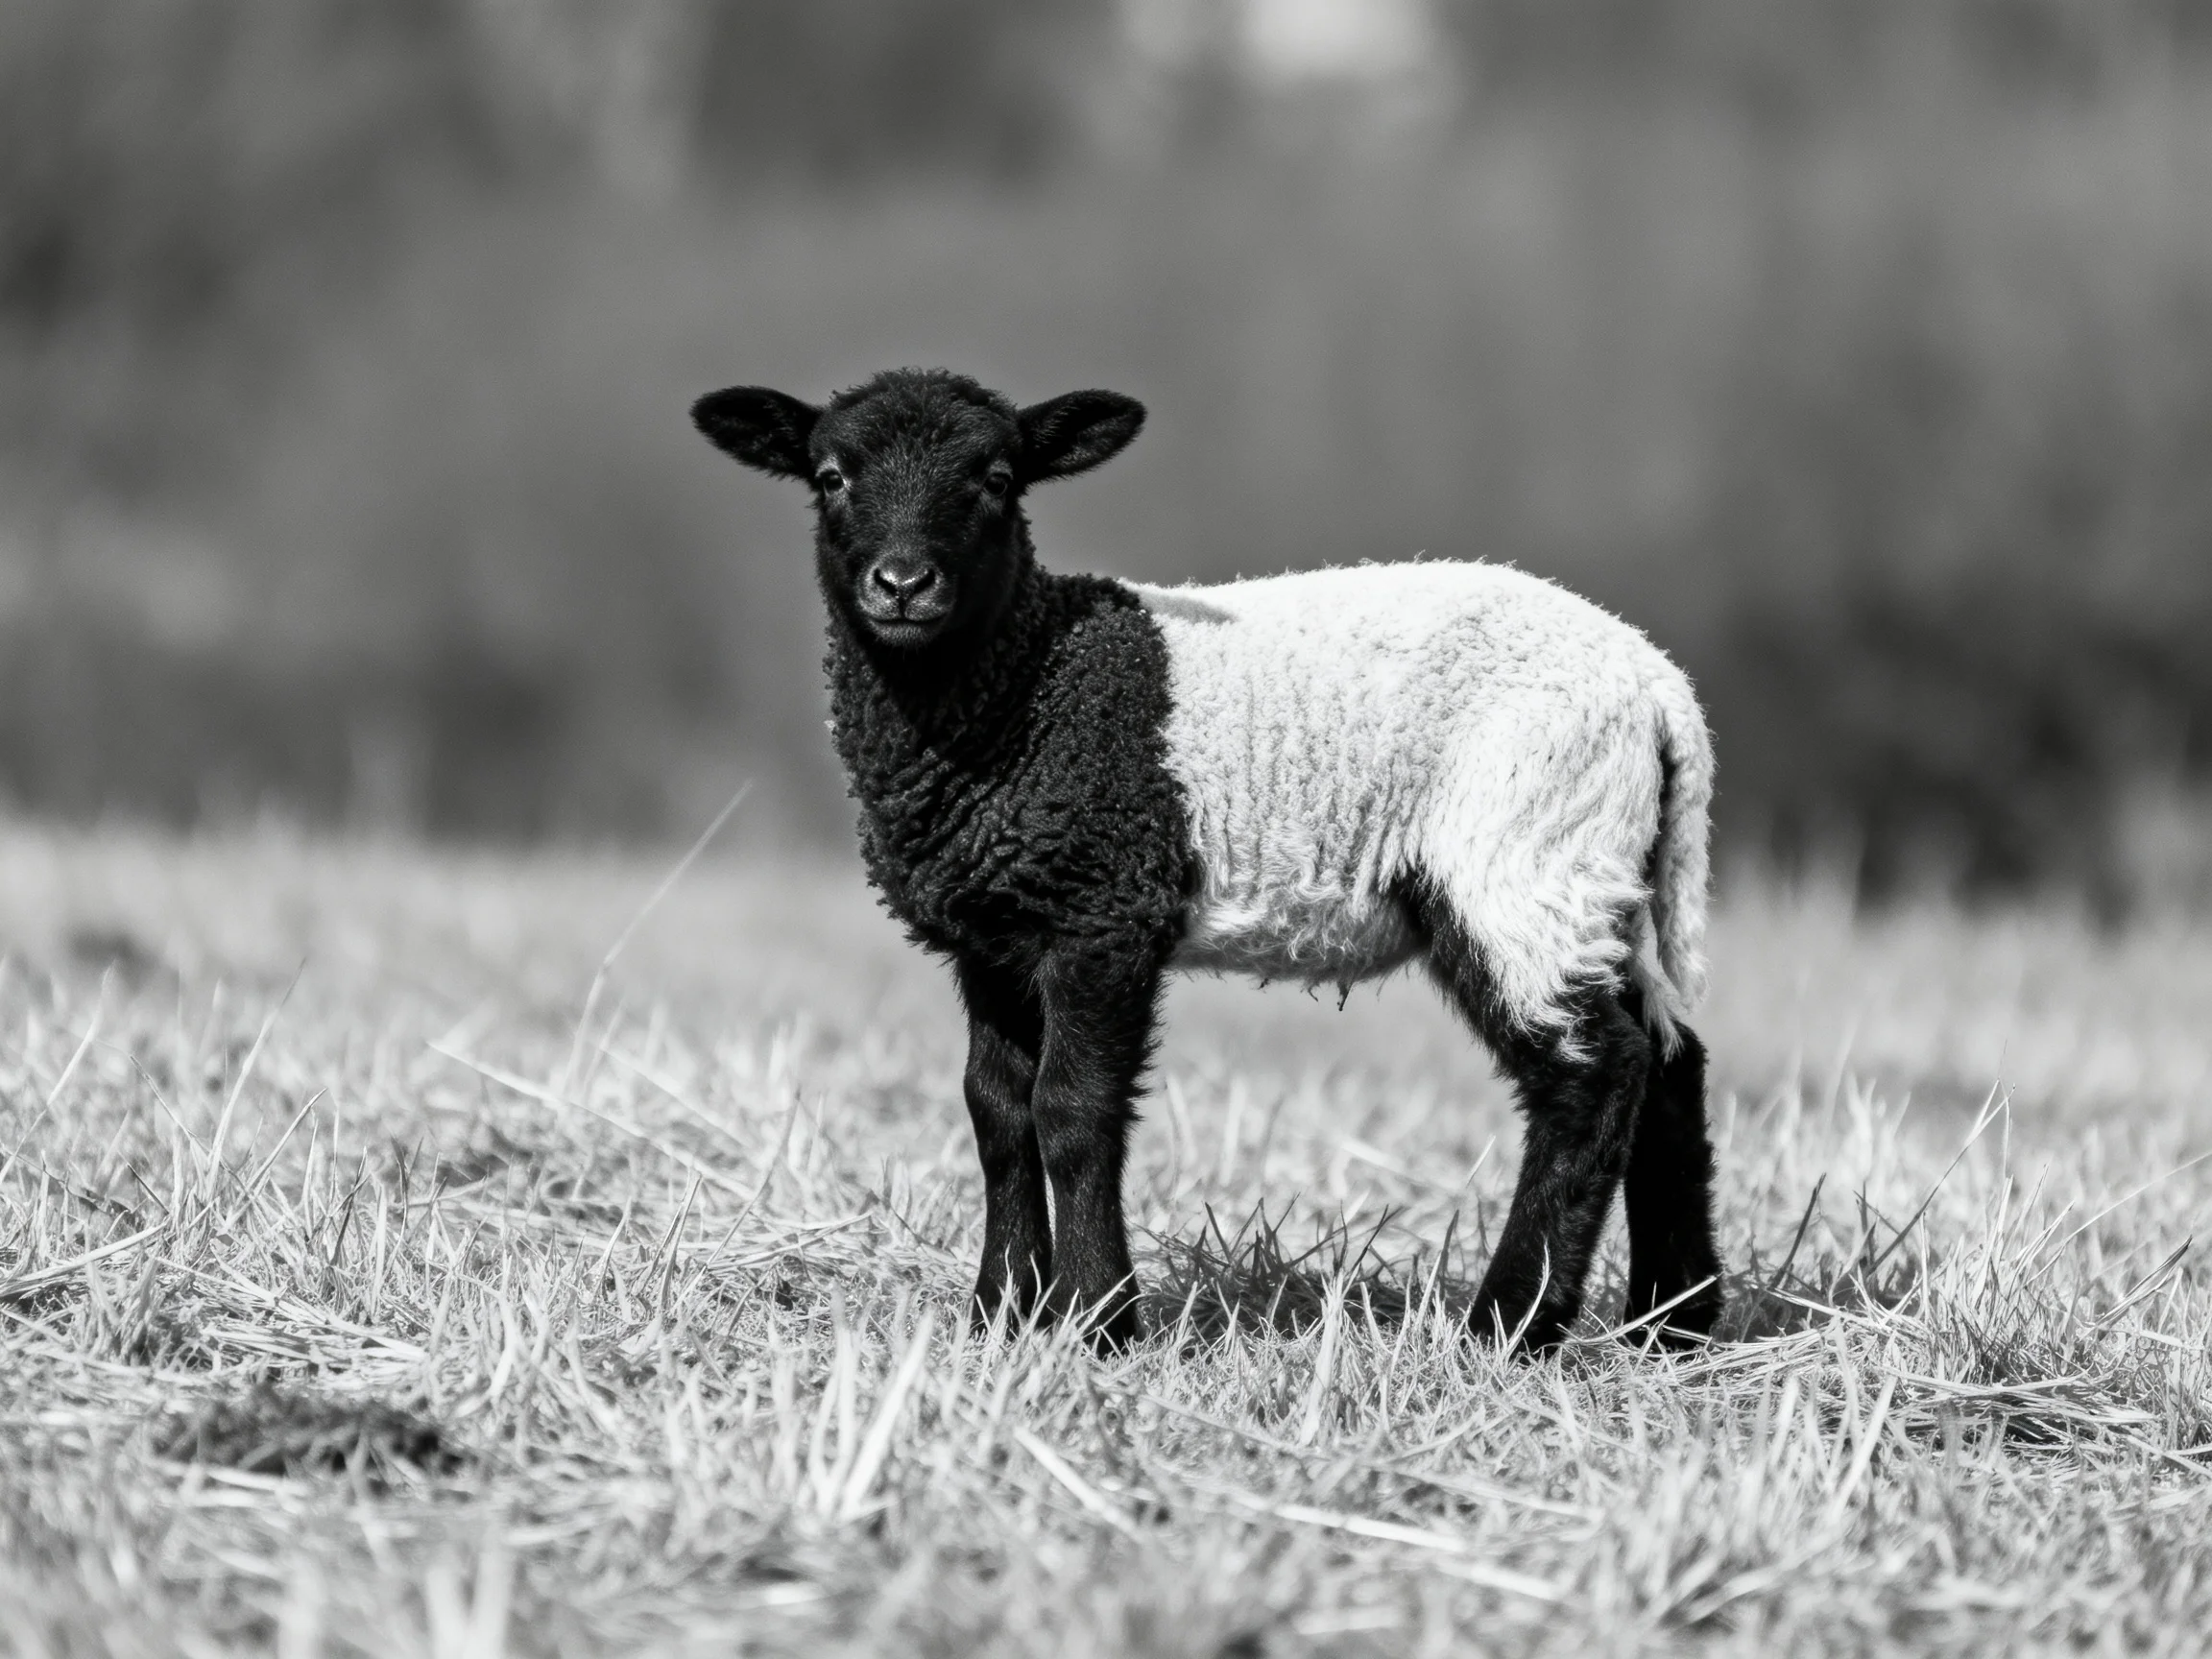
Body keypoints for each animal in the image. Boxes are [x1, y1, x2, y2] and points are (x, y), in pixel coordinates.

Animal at [692, 366, 1722, 1352]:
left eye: (996, 477)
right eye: (831, 476)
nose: (903, 584)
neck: (1019, 686)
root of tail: (1657, 688)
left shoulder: (1103, 907)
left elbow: (1073, 1111)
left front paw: (1099, 1323)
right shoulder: (994, 932)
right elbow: (996, 1112)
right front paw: (1001, 1315)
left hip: (1518, 849)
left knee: (1593, 1077)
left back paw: (1511, 1327)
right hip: (1597, 872)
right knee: (1669, 1067)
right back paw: (1672, 1324)